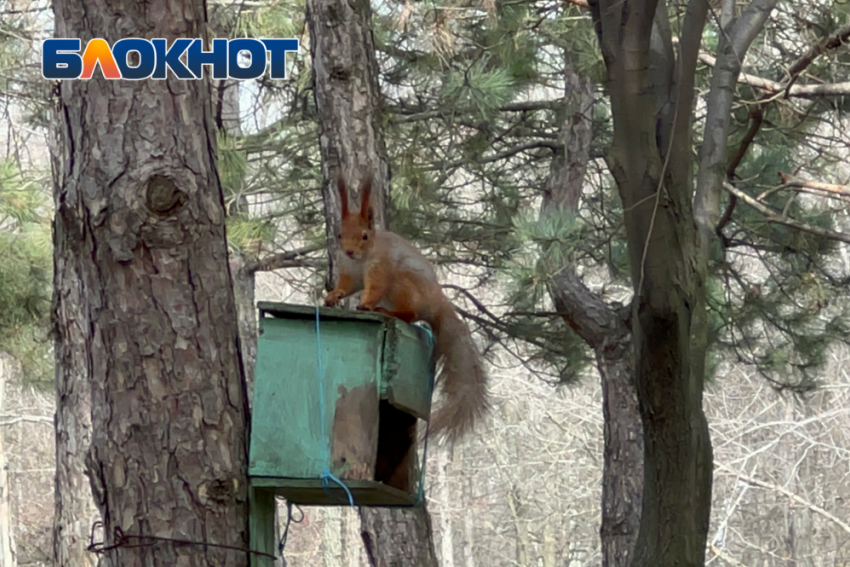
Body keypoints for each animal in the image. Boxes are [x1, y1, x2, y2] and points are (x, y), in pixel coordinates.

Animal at [322, 172, 486, 444]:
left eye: (365, 235)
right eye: (339, 235)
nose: (349, 251)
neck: (362, 259)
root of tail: (437, 304)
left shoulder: (380, 268)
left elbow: (374, 287)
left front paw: (366, 303)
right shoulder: (349, 272)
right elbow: (345, 286)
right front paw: (332, 296)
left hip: (402, 286)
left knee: (410, 315)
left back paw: (386, 311)